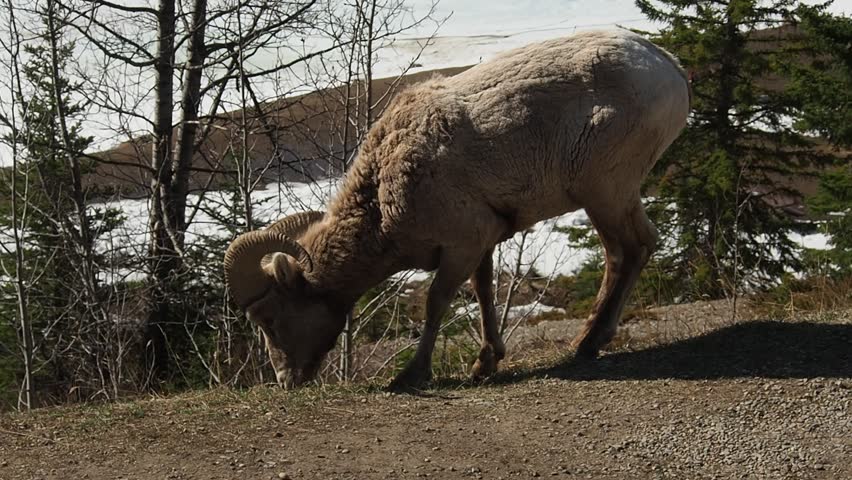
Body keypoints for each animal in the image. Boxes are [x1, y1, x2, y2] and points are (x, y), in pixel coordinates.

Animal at [224, 29, 691, 389]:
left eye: (268, 318)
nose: (286, 382)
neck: (384, 196)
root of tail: (669, 68)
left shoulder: (460, 245)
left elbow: (436, 302)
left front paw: (412, 375)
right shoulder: (482, 240)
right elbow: (483, 291)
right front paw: (485, 363)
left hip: (604, 192)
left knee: (627, 251)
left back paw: (588, 342)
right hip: (612, 195)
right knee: (634, 249)